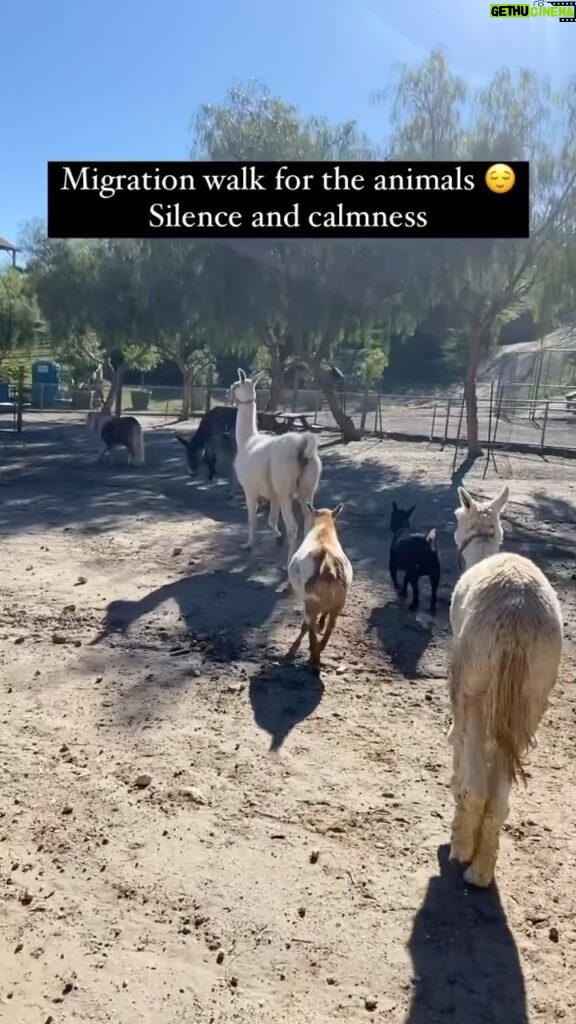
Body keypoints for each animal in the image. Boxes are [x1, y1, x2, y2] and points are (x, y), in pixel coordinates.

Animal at [284, 501, 352, 671]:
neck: (323, 528)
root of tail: (327, 564)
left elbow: (307, 625)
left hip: (311, 601)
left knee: (310, 628)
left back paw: (314, 659)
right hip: (339, 600)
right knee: (330, 626)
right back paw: (319, 648)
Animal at [448, 487, 561, 888]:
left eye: (457, 516)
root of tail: (518, 616)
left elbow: (458, 737)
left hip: (476, 683)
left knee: (478, 780)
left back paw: (461, 850)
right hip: (531, 698)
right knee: (500, 794)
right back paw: (481, 871)